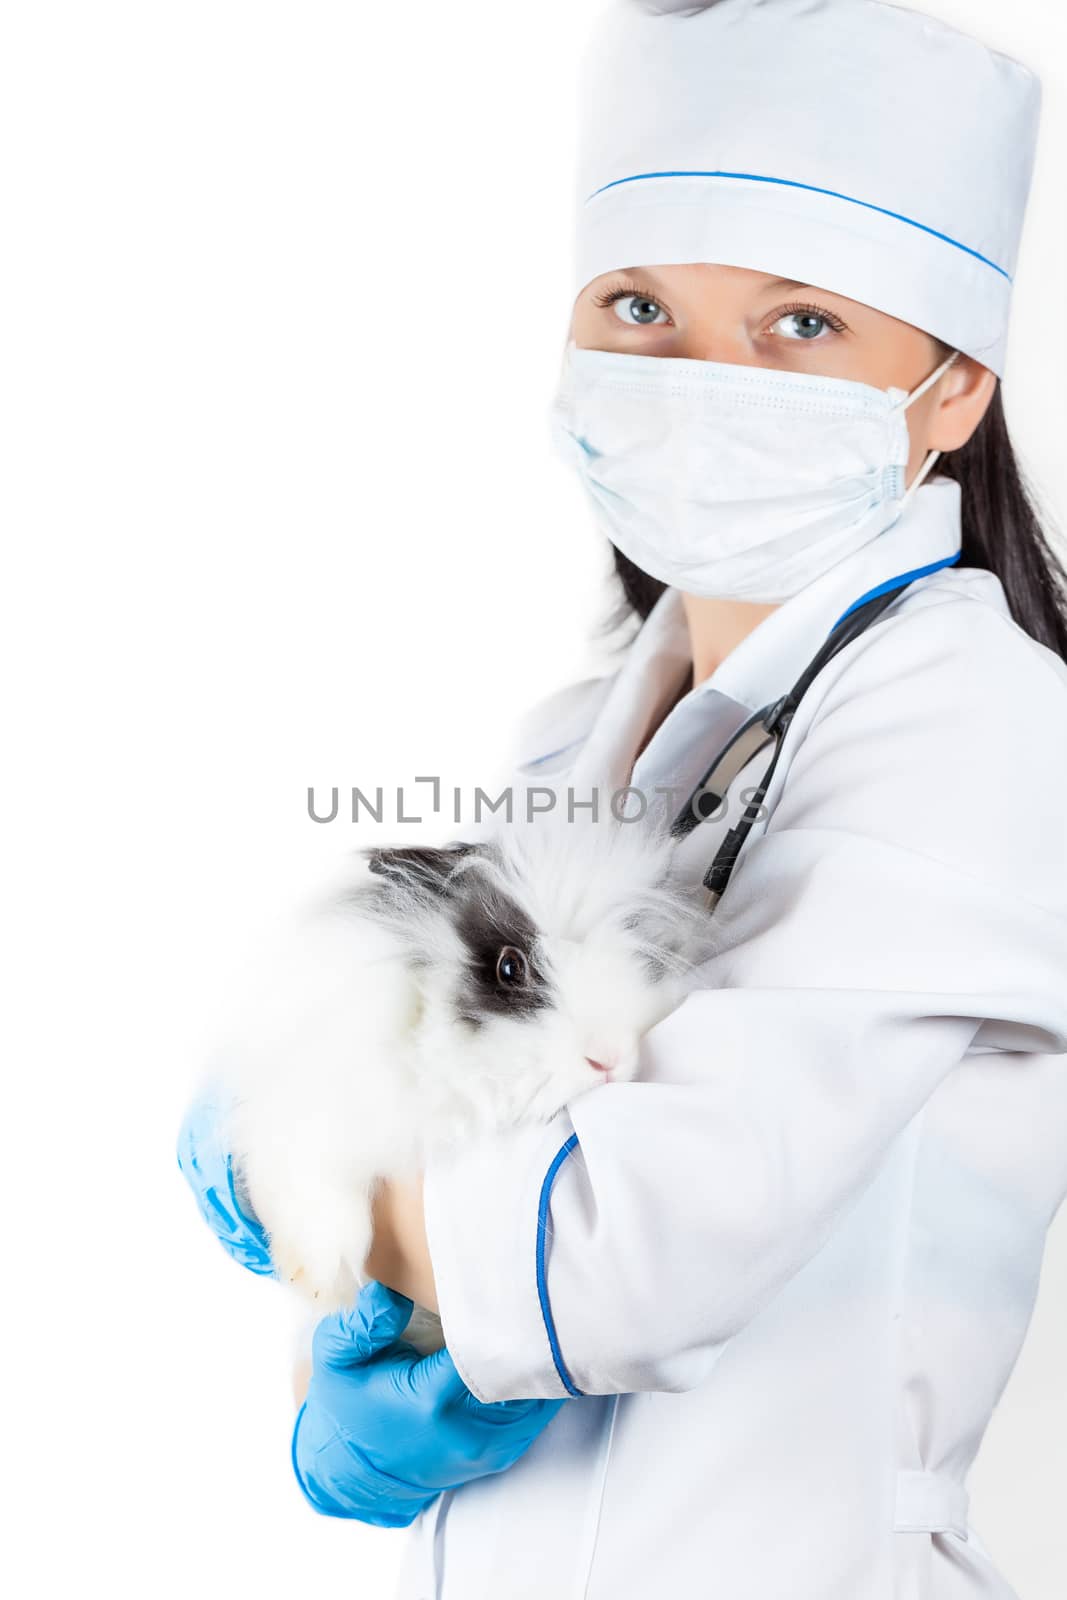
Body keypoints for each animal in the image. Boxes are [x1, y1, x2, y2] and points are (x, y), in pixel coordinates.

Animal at [214, 812, 716, 1350]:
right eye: (510, 967)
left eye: (638, 956)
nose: (609, 1058)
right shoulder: (307, 1110)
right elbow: (318, 1184)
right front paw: (323, 1280)